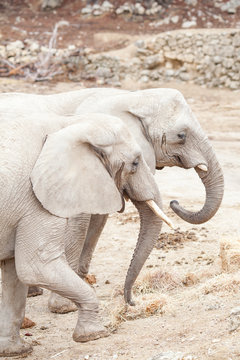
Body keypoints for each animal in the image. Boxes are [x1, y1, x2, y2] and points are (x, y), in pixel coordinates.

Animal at [0, 105, 170, 356]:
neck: (69, 124)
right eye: (136, 163)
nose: (132, 302)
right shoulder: (37, 197)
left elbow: (14, 275)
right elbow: (35, 267)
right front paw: (94, 335)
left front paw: (16, 351)